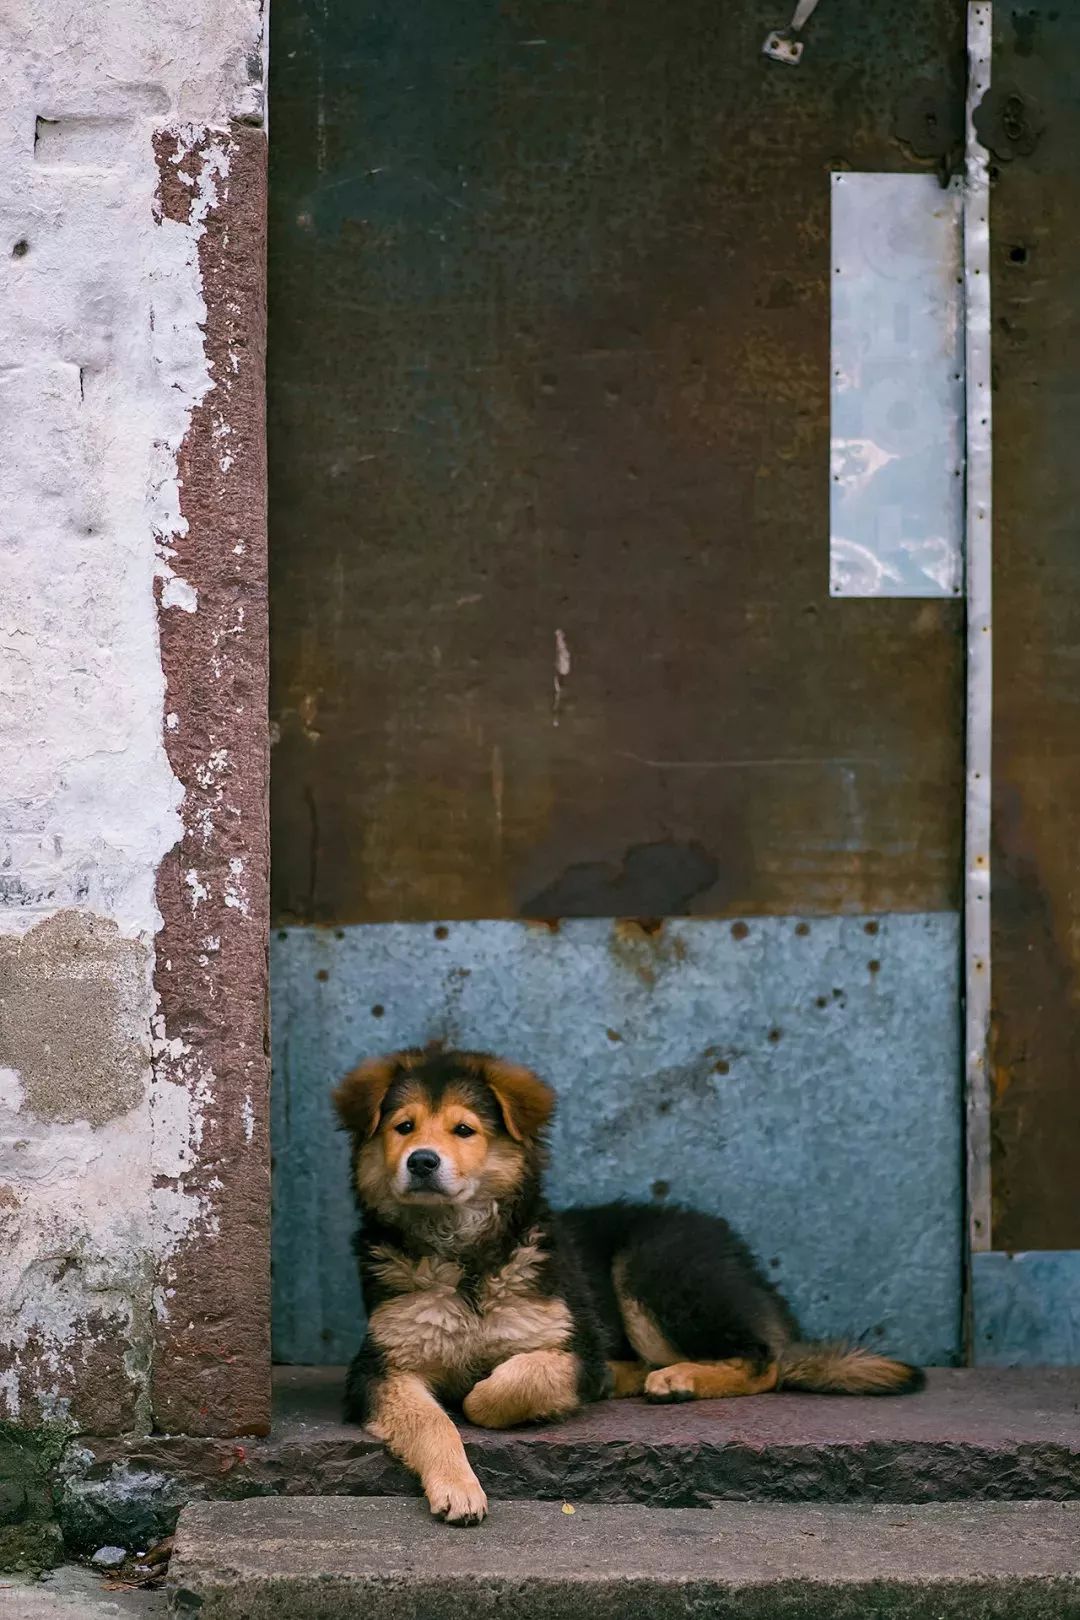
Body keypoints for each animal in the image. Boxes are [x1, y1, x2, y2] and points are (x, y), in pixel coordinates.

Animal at [333, 1043, 926, 1522]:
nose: (422, 1162)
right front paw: (458, 1487)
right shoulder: (380, 1368)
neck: (463, 1257)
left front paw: (491, 1394)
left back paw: (681, 1378)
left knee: (766, 1360)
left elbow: (503, 1388)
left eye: (464, 1130)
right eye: (403, 1127)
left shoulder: (574, 1346)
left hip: (651, 1268)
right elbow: (433, 1422)